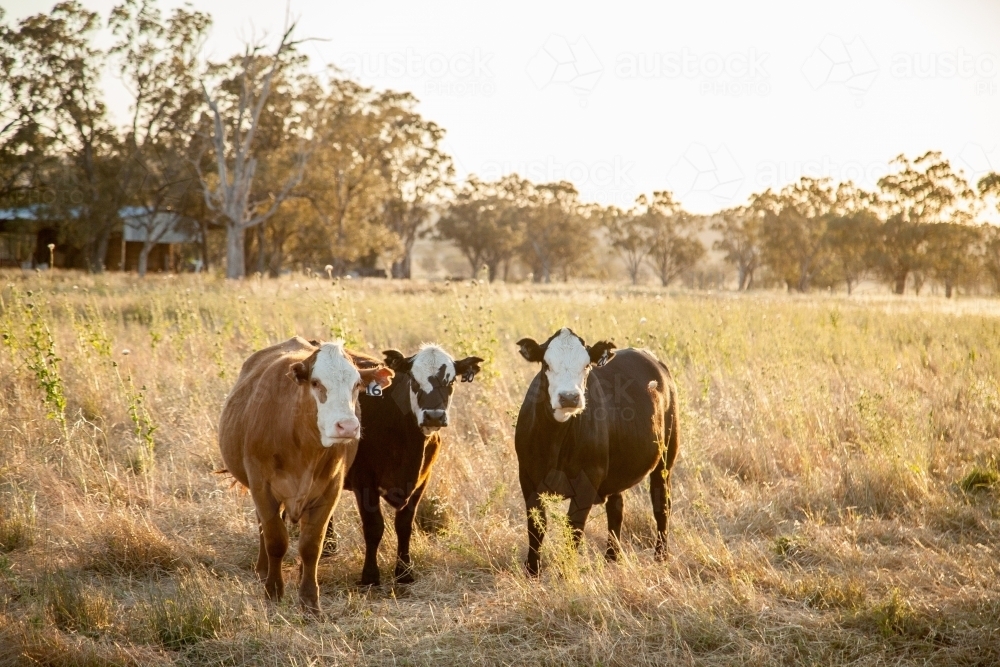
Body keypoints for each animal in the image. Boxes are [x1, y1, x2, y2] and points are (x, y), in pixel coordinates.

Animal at [218, 337, 394, 612]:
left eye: (357, 385)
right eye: (316, 383)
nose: (347, 427)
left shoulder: (329, 490)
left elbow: (311, 545)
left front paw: (309, 600)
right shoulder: (262, 486)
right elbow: (275, 539)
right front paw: (273, 591)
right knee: (262, 525)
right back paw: (263, 569)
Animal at [342, 344, 484, 586]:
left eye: (450, 382)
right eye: (414, 381)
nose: (434, 416)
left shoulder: (422, 479)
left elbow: (404, 525)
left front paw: (404, 571)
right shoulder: (363, 479)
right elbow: (373, 526)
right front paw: (370, 576)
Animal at [514, 328, 679, 576]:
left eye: (586, 366)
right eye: (546, 364)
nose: (569, 397)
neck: (555, 440)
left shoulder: (588, 480)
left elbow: (573, 529)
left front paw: (566, 572)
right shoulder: (528, 476)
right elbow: (536, 526)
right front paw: (532, 571)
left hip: (665, 459)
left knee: (662, 505)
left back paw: (660, 556)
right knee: (617, 507)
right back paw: (612, 557)